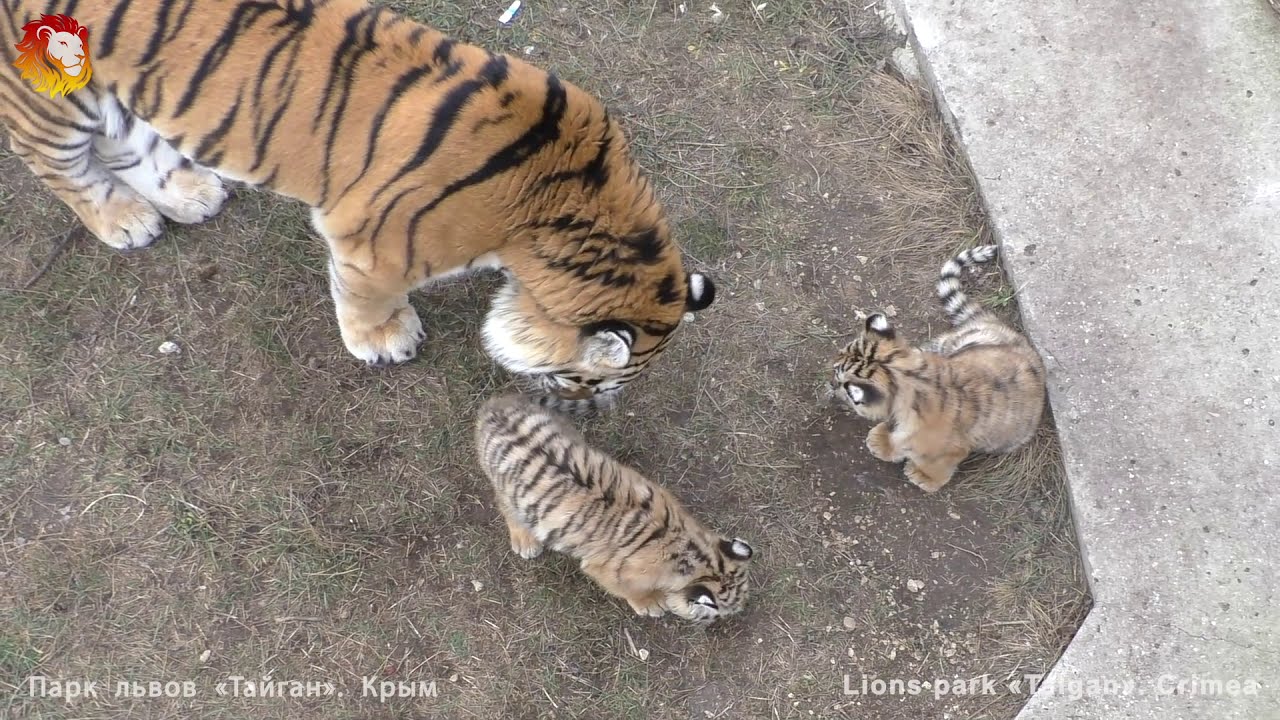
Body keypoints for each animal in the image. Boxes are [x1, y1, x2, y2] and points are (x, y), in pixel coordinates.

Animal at [0, 0, 716, 412]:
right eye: (591, 381)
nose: (583, 413)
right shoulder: (372, 246)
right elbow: (367, 298)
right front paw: (385, 341)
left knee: (124, 140)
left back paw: (189, 193)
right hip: (50, 99)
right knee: (53, 159)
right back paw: (124, 221)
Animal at [474, 393, 754, 623]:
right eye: (718, 613)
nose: (719, 622)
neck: (694, 552)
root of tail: (495, 406)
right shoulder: (605, 571)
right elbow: (628, 590)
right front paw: (650, 604)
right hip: (508, 490)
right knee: (507, 507)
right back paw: (525, 540)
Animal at [829, 245, 1046, 493]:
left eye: (838, 378)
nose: (830, 383)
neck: (915, 379)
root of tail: (1001, 327)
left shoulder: (948, 449)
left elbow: (933, 462)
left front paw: (923, 477)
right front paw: (882, 441)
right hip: (947, 345)